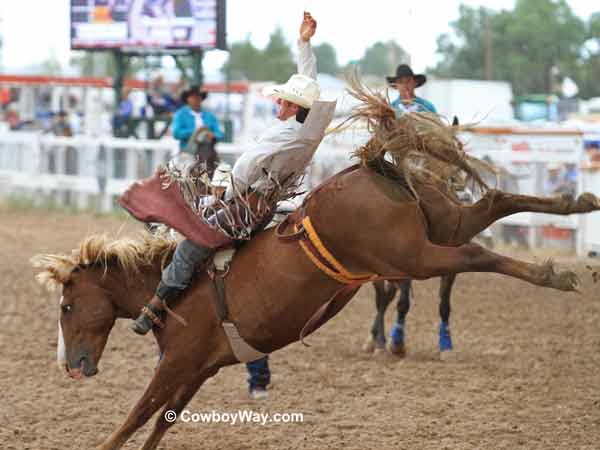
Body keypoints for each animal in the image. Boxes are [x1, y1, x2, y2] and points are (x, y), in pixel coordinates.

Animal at [31, 82, 600, 448]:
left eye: (66, 306)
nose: (70, 365)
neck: (168, 288)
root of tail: (370, 167)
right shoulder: (197, 370)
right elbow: (157, 426)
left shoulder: (176, 363)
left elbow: (133, 420)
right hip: (443, 221)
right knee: (495, 203)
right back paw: (576, 201)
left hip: (414, 255)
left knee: (476, 255)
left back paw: (555, 273)